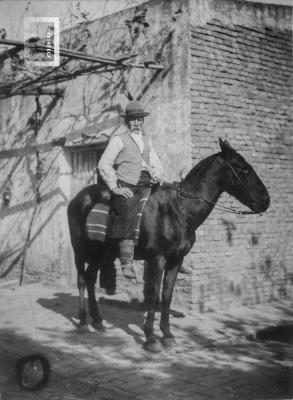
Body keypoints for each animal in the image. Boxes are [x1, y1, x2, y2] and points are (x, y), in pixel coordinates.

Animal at [67, 139, 268, 352]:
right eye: (241, 167)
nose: (266, 200)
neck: (178, 209)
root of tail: (79, 198)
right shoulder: (157, 258)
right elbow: (153, 295)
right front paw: (150, 338)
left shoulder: (176, 259)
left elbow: (167, 295)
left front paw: (167, 335)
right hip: (79, 249)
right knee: (82, 280)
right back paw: (83, 322)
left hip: (102, 252)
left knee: (90, 278)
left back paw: (97, 320)